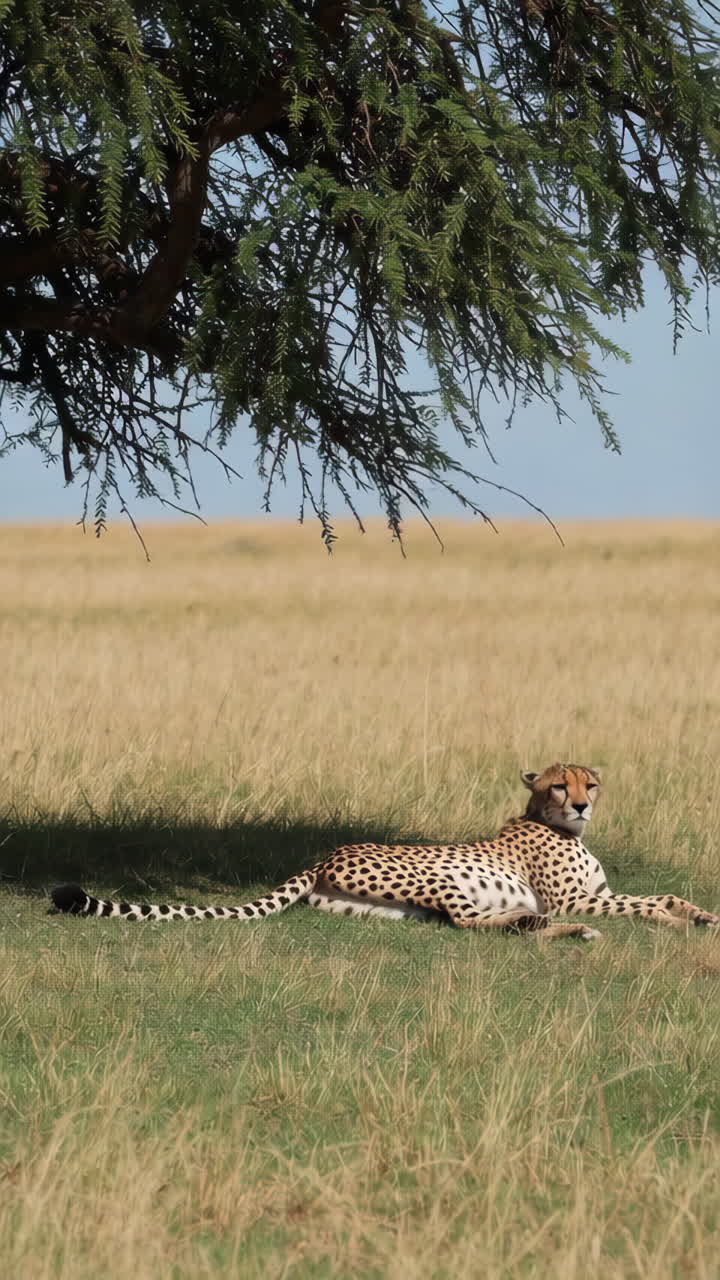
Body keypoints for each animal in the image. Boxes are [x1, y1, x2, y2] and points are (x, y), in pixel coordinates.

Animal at [49, 763, 720, 940]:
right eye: (561, 785)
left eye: (590, 784)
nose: (581, 806)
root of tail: (325, 854)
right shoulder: (578, 898)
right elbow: (643, 904)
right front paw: (672, 921)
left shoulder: (595, 892)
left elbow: (663, 891)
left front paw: (702, 914)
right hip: (438, 878)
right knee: (471, 922)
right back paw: (555, 927)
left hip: (385, 909)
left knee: (482, 925)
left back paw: (544, 928)